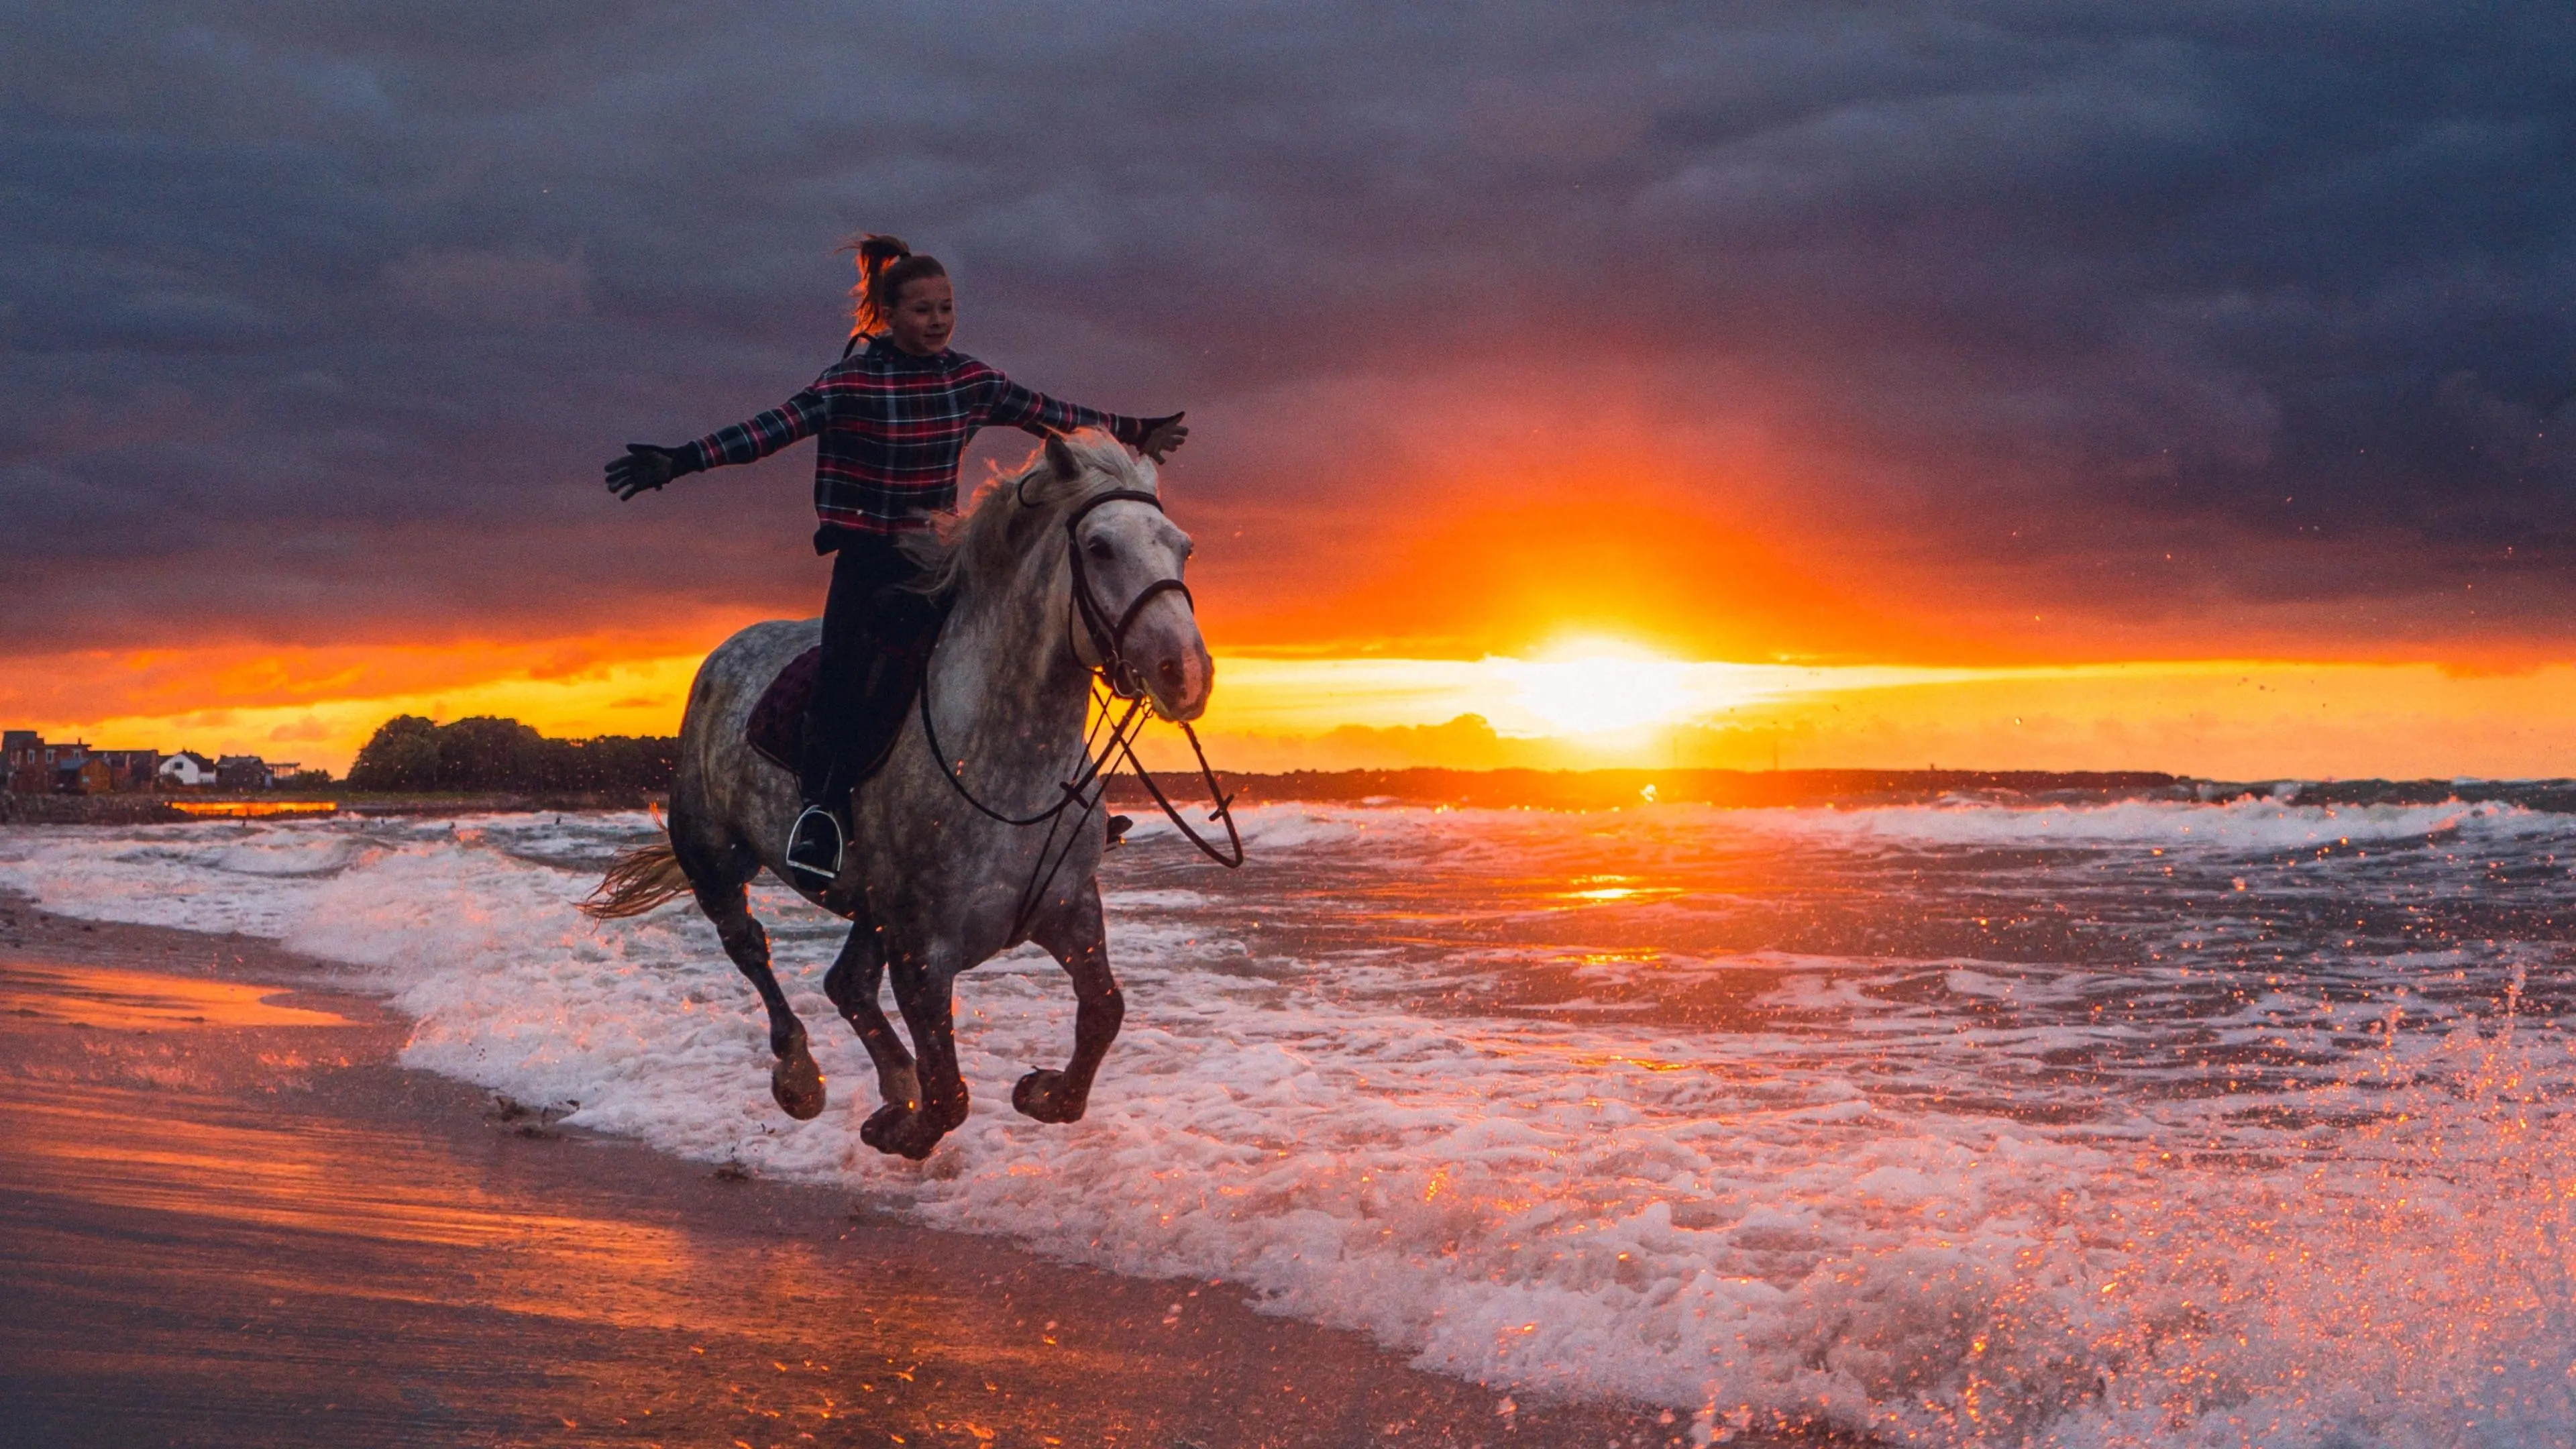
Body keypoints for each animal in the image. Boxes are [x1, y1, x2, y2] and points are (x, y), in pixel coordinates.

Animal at [590, 425, 1210, 1150]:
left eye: (1183, 548)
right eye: (1100, 547)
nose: (1185, 673)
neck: (1006, 769)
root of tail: (725, 653)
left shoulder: (1069, 910)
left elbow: (1105, 1011)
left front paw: (1043, 1092)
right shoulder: (923, 951)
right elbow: (949, 1096)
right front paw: (901, 1129)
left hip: (869, 909)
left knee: (847, 983)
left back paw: (891, 1079)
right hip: (715, 856)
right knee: (749, 946)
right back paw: (800, 1078)